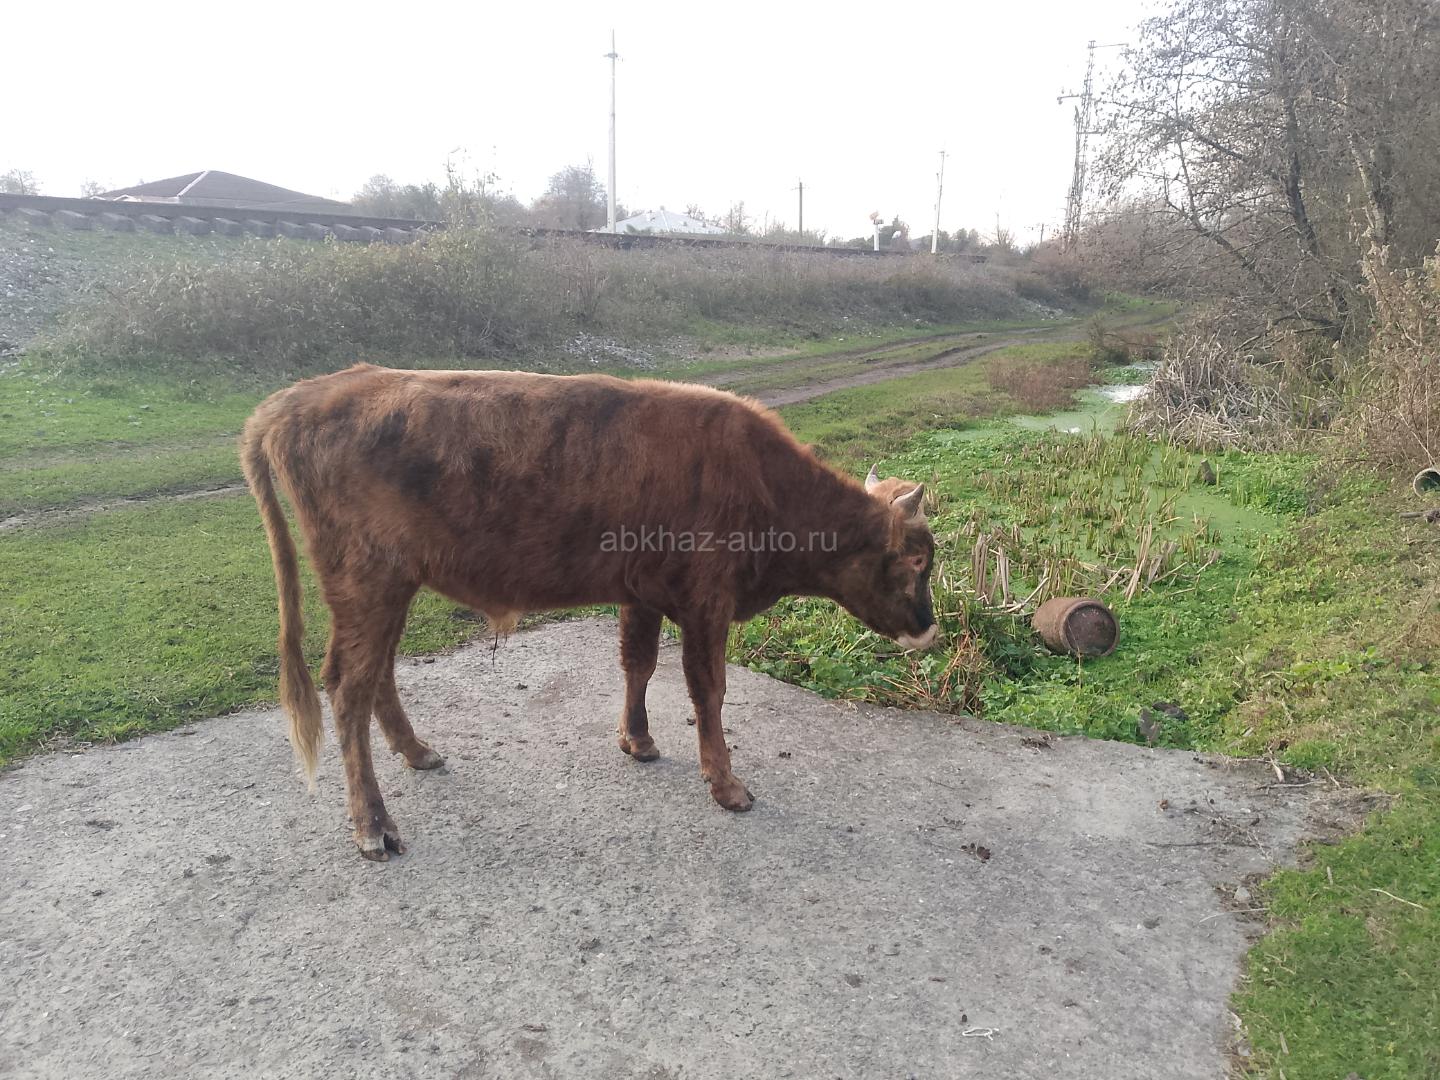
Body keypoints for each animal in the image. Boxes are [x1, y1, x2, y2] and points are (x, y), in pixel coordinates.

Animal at [241, 364, 939, 860]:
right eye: (917, 560)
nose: (928, 629)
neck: (763, 484)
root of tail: (300, 397)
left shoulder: (643, 594)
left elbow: (639, 665)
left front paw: (639, 740)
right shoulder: (706, 602)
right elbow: (707, 691)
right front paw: (726, 786)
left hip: (391, 589)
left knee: (376, 673)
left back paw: (418, 753)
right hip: (368, 583)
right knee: (348, 687)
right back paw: (373, 827)